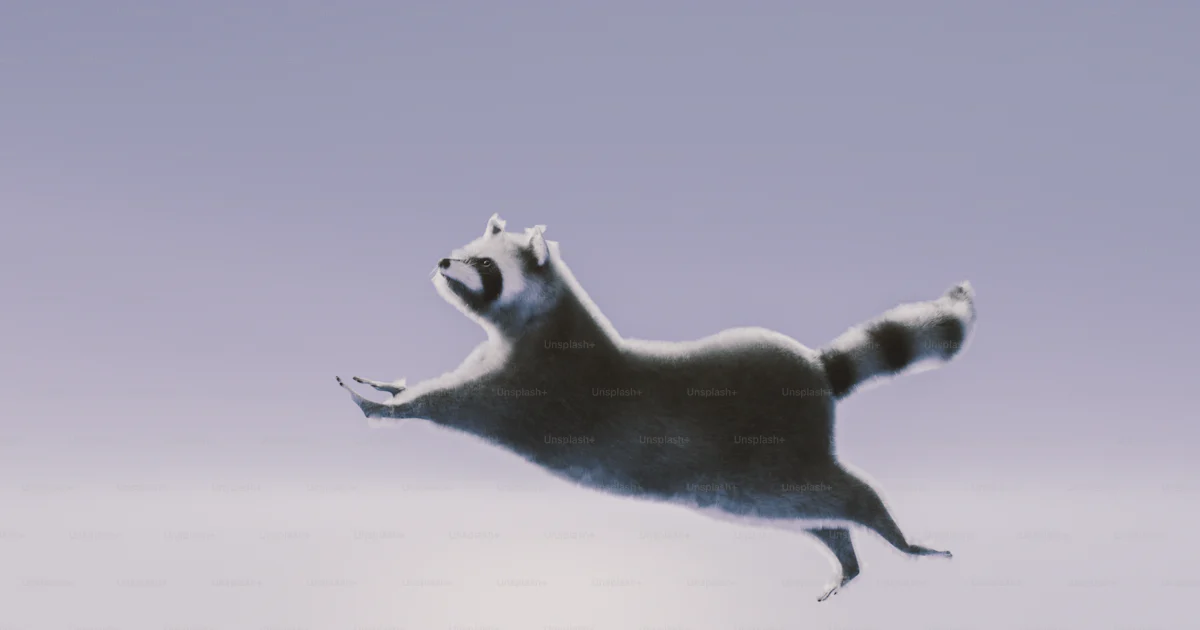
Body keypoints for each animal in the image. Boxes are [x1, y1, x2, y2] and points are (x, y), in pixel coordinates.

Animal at [337, 213, 977, 601]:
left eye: (486, 266)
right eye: (466, 251)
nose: (444, 263)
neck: (526, 323)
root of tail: (815, 370)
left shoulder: (529, 385)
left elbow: (455, 402)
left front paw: (393, 406)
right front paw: (391, 386)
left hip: (768, 457)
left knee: (838, 492)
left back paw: (887, 531)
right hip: (753, 485)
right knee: (814, 511)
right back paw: (845, 552)